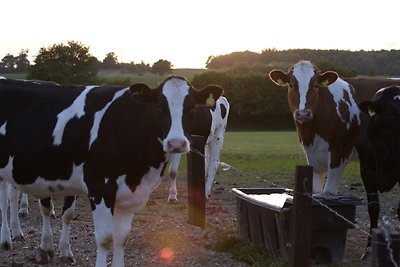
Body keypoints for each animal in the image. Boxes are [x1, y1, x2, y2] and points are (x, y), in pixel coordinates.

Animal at [0, 76, 223, 266]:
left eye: (192, 107)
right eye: (159, 107)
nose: (176, 143)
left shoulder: (130, 193)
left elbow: (121, 238)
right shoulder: (100, 188)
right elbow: (105, 239)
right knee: (4, 204)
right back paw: (7, 240)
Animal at [268, 60, 360, 195]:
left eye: (316, 86)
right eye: (291, 85)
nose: (303, 114)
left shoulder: (339, 154)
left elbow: (328, 192)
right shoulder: (313, 160)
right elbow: (316, 191)